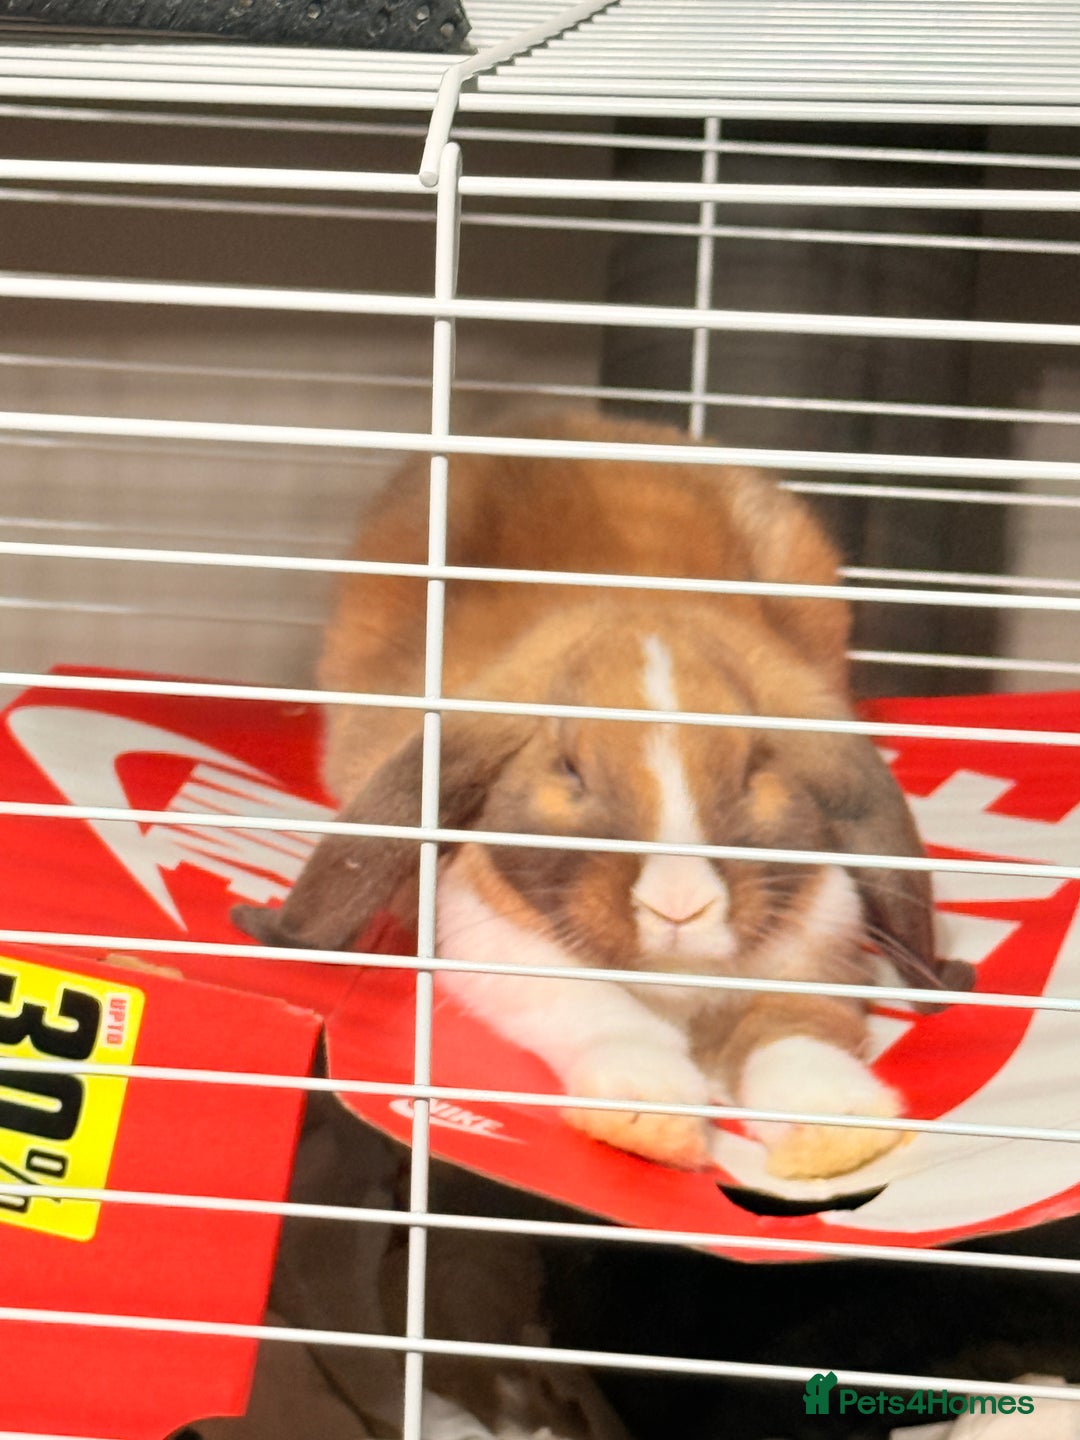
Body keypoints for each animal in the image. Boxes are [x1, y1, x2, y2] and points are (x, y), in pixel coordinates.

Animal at [233, 411, 968, 1181]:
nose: (679, 906)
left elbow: (796, 1035)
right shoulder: (506, 955)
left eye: (754, 766)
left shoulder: (816, 957)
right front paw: (649, 1117)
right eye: (570, 767)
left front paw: (837, 1132)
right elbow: (608, 1018)